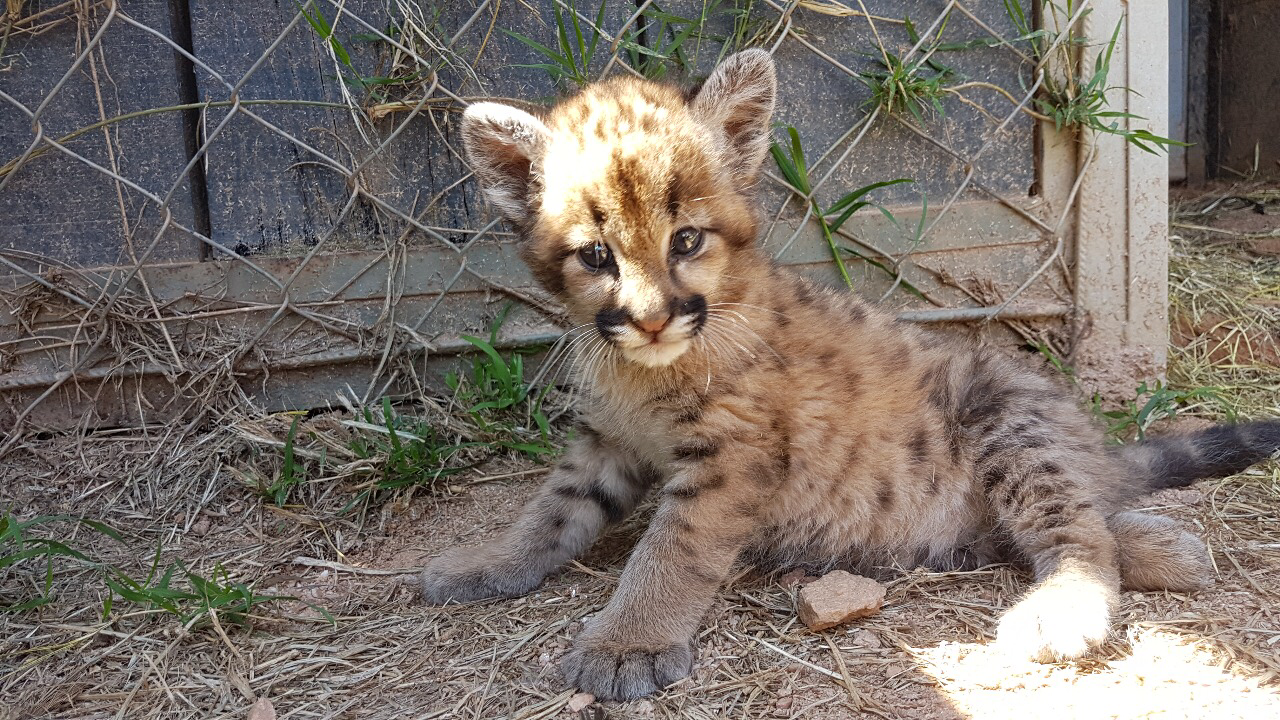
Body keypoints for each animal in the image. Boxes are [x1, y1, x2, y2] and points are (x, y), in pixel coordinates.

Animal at [424, 49, 1280, 696]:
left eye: (687, 240)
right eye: (596, 255)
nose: (652, 319)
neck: (645, 373)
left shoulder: (732, 459)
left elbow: (671, 551)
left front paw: (627, 643)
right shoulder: (607, 441)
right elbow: (550, 511)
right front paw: (487, 562)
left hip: (1002, 414)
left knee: (1074, 525)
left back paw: (1069, 607)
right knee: (1073, 514)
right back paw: (1166, 547)